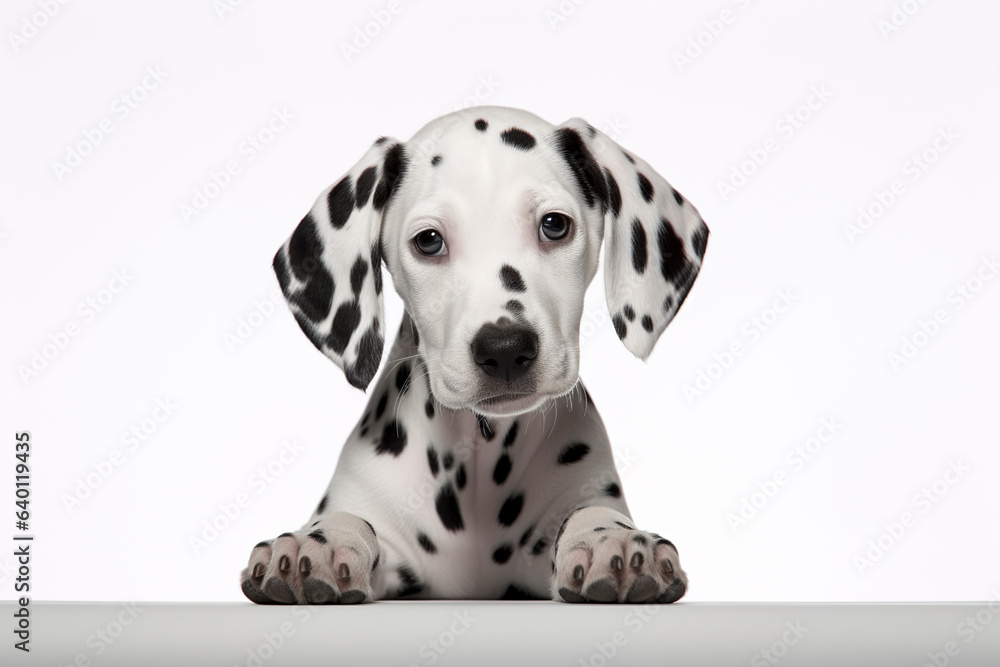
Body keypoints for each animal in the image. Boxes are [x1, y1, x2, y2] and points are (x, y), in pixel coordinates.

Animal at [240, 105, 712, 604]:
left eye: (554, 225)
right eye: (429, 240)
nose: (504, 350)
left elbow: (589, 513)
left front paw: (610, 538)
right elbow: (351, 520)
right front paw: (323, 541)